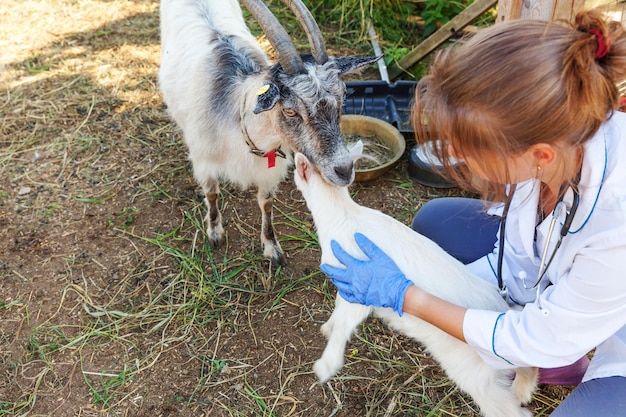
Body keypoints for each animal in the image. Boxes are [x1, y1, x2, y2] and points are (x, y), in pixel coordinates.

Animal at [161, 0, 376, 264]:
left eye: (343, 97)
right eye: (290, 111)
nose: (344, 170)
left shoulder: (268, 171)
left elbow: (266, 203)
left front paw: (272, 248)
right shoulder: (204, 160)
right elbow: (211, 193)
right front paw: (214, 232)